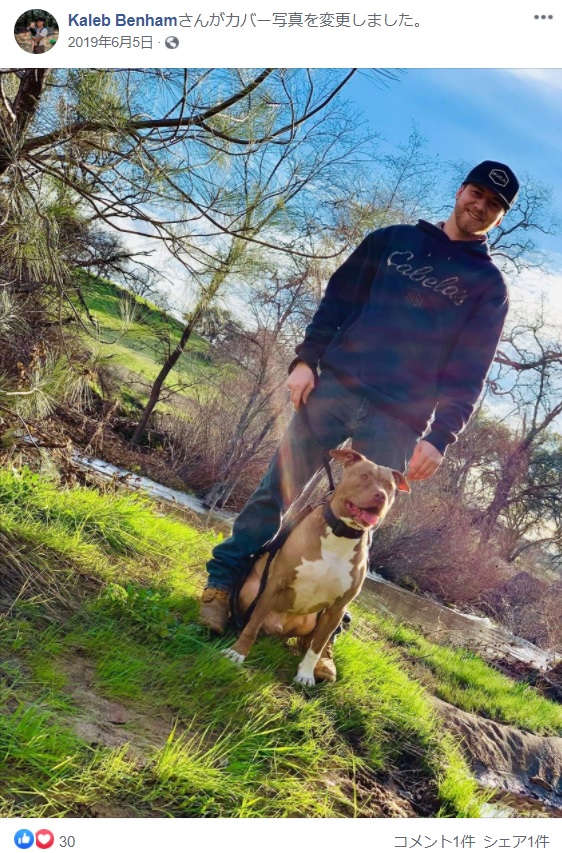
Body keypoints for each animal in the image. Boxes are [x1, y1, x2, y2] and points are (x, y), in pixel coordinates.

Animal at [221, 446, 410, 684]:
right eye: (365, 476)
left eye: (389, 486)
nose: (381, 496)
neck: (341, 534)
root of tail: (276, 628)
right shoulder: (274, 585)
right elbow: (252, 625)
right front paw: (237, 652)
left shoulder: (337, 609)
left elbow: (317, 645)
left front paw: (305, 673)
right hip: (251, 590)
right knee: (251, 619)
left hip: (312, 619)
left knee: (309, 639)